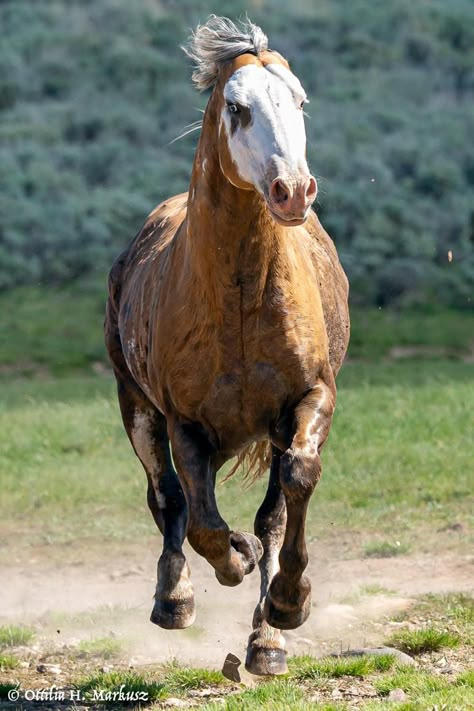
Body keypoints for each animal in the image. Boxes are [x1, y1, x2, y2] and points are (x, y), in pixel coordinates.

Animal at [105, 13, 350, 676]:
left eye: (300, 101)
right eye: (237, 108)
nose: (293, 189)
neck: (239, 301)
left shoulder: (309, 398)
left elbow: (293, 487)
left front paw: (287, 608)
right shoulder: (185, 421)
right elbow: (202, 524)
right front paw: (231, 561)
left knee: (268, 509)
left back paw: (266, 639)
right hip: (135, 405)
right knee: (168, 499)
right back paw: (175, 599)